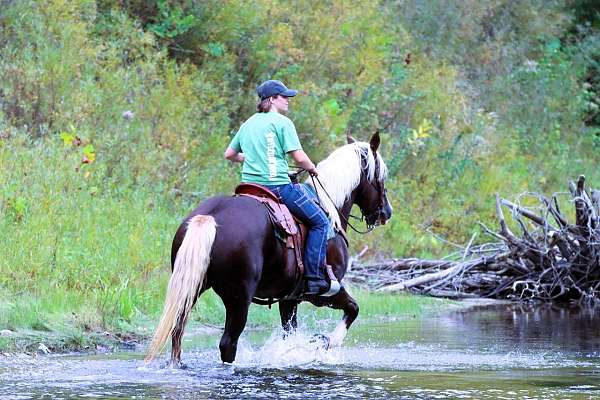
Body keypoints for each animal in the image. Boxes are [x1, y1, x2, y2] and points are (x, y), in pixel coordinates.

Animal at [145, 132, 394, 366]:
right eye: (381, 177)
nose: (386, 212)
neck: (328, 207)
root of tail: (210, 217)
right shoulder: (323, 292)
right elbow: (353, 308)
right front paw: (324, 341)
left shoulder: (289, 299)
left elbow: (290, 333)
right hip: (239, 298)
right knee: (228, 342)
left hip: (191, 289)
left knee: (177, 331)